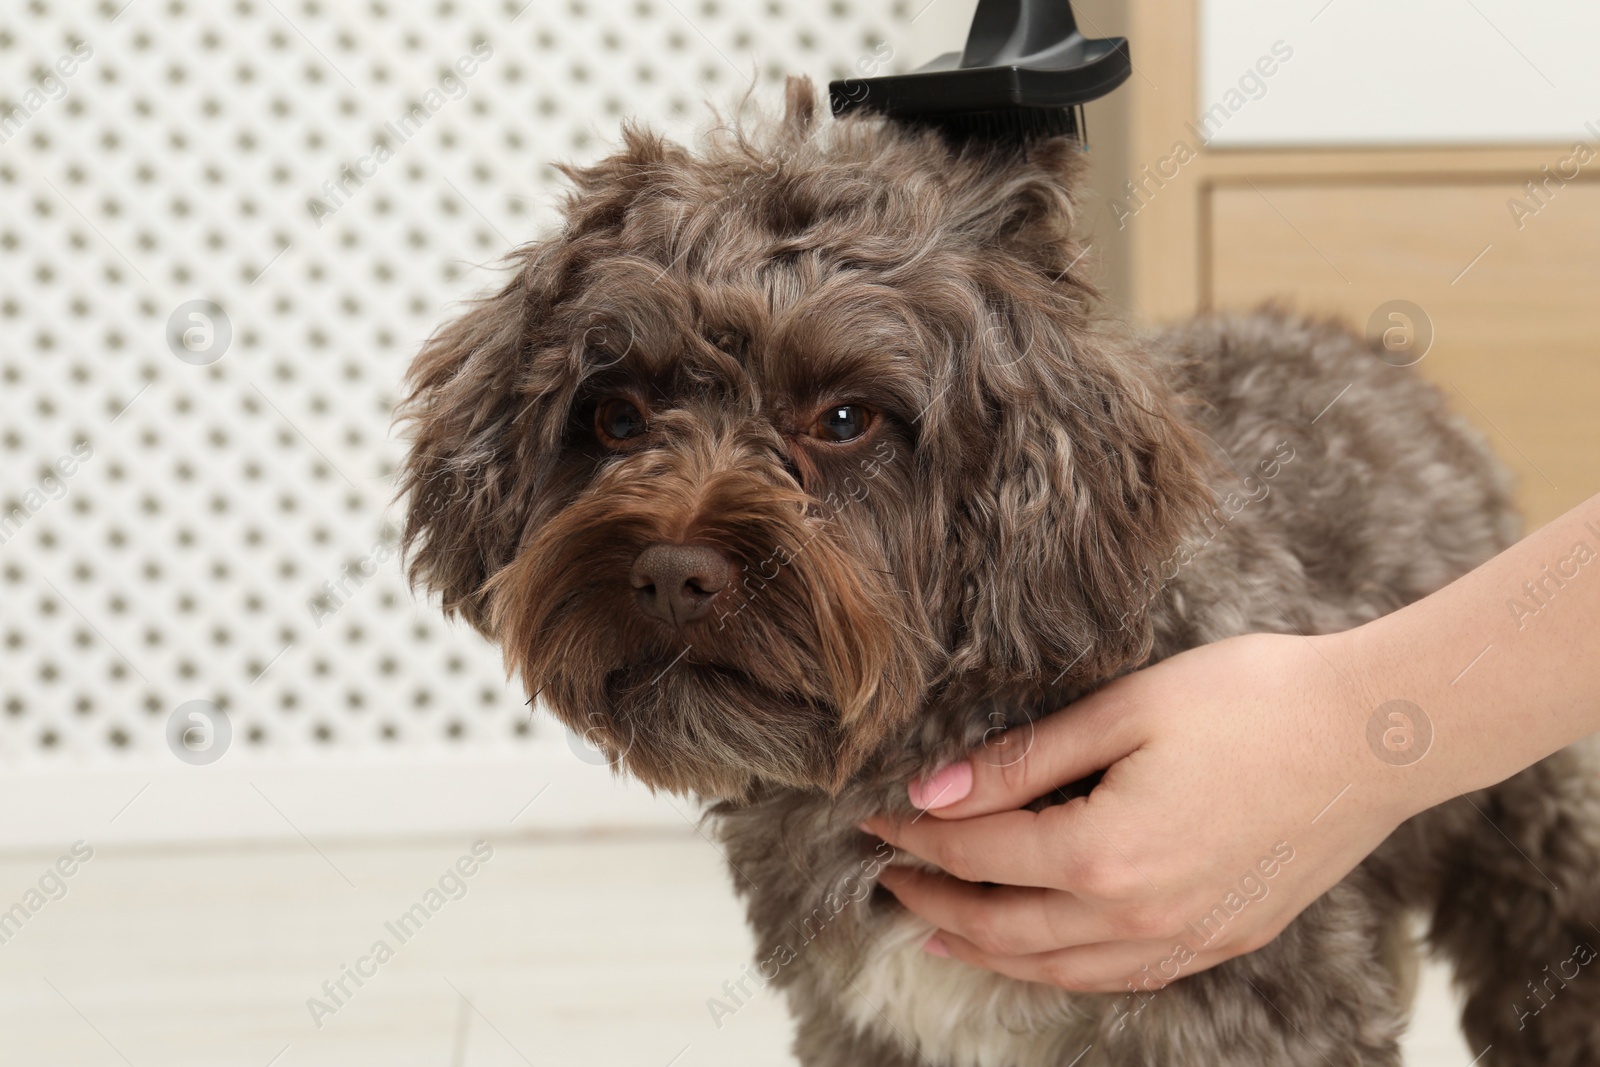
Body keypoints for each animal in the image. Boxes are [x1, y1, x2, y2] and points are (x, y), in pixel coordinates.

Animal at [396, 79, 1600, 1062]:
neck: (904, 753)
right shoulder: (863, 1027)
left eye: (846, 418)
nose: (672, 572)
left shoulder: (1258, 1009)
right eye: (614, 415)